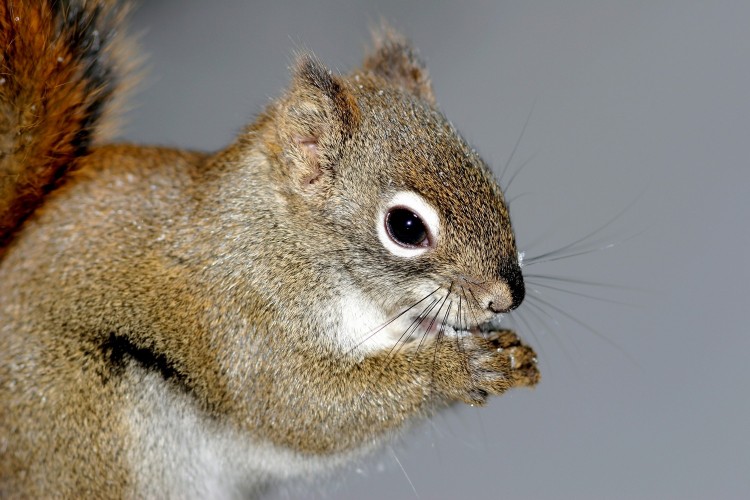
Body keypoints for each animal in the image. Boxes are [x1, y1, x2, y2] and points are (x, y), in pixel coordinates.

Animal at [0, 1, 540, 498]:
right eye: (405, 227)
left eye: (487, 177)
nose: (506, 297)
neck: (287, 238)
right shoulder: (245, 318)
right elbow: (302, 403)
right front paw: (456, 368)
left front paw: (513, 355)